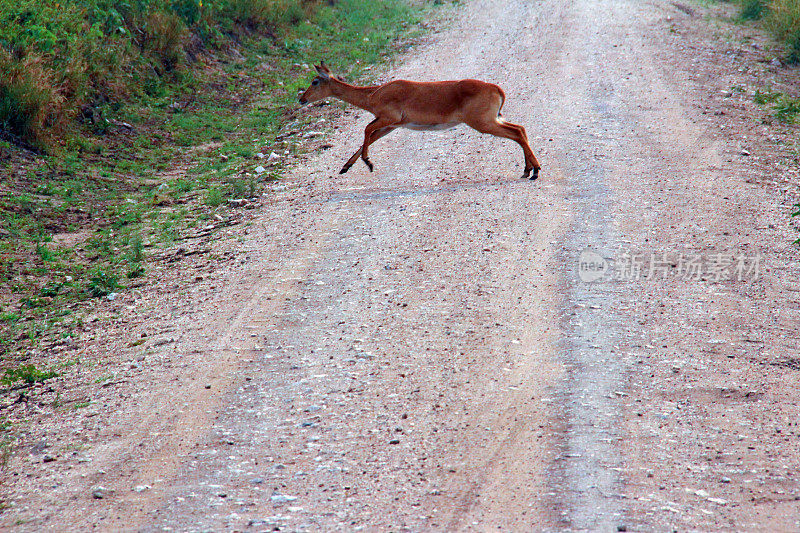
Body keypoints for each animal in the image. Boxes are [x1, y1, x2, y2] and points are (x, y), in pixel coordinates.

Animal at [296, 62, 540, 179]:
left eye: (315, 81)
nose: (301, 98)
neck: (373, 95)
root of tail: (498, 89)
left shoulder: (389, 118)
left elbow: (366, 131)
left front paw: (369, 163)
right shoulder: (392, 125)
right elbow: (370, 137)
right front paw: (345, 167)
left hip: (482, 122)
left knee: (517, 132)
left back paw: (535, 171)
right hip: (492, 119)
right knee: (520, 129)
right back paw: (528, 170)